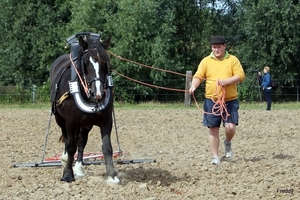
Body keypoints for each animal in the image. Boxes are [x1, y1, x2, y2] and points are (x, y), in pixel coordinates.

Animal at [49, 32, 119, 183]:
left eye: (105, 62)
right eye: (86, 63)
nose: (98, 93)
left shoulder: (106, 120)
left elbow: (107, 147)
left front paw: (112, 175)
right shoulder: (71, 122)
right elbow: (71, 146)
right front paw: (67, 174)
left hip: (87, 123)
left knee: (81, 141)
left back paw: (79, 167)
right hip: (60, 119)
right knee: (67, 138)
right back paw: (65, 160)